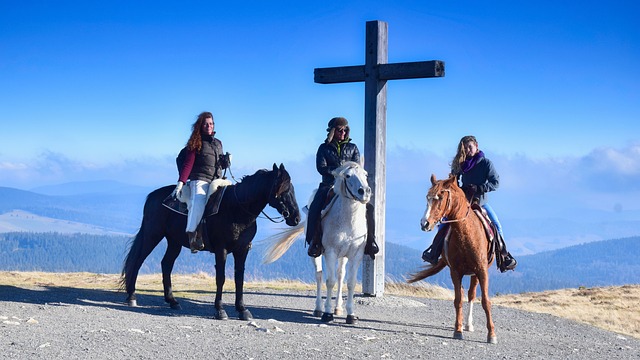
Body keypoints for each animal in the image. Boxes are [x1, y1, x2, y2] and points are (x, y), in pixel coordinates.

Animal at [121, 165, 302, 320]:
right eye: (284, 190)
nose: (296, 218)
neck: (237, 209)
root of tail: (152, 196)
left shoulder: (242, 250)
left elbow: (239, 278)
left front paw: (242, 310)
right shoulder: (221, 249)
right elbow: (221, 278)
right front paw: (220, 310)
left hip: (174, 242)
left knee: (166, 264)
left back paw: (172, 301)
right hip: (152, 235)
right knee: (138, 261)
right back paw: (131, 296)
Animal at [260, 162, 370, 324]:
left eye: (366, 174)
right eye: (348, 176)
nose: (365, 192)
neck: (348, 221)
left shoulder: (355, 255)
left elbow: (350, 282)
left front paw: (350, 314)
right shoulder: (330, 253)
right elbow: (330, 281)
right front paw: (327, 313)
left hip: (343, 257)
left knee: (340, 275)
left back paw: (338, 308)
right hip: (316, 253)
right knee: (319, 275)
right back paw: (318, 308)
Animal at [408, 174, 498, 344]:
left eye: (441, 197)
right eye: (427, 197)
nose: (424, 223)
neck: (466, 235)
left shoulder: (482, 271)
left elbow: (485, 301)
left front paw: (491, 334)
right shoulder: (455, 272)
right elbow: (458, 300)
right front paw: (458, 330)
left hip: (475, 274)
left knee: (471, 294)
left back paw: (469, 324)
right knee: (465, 295)